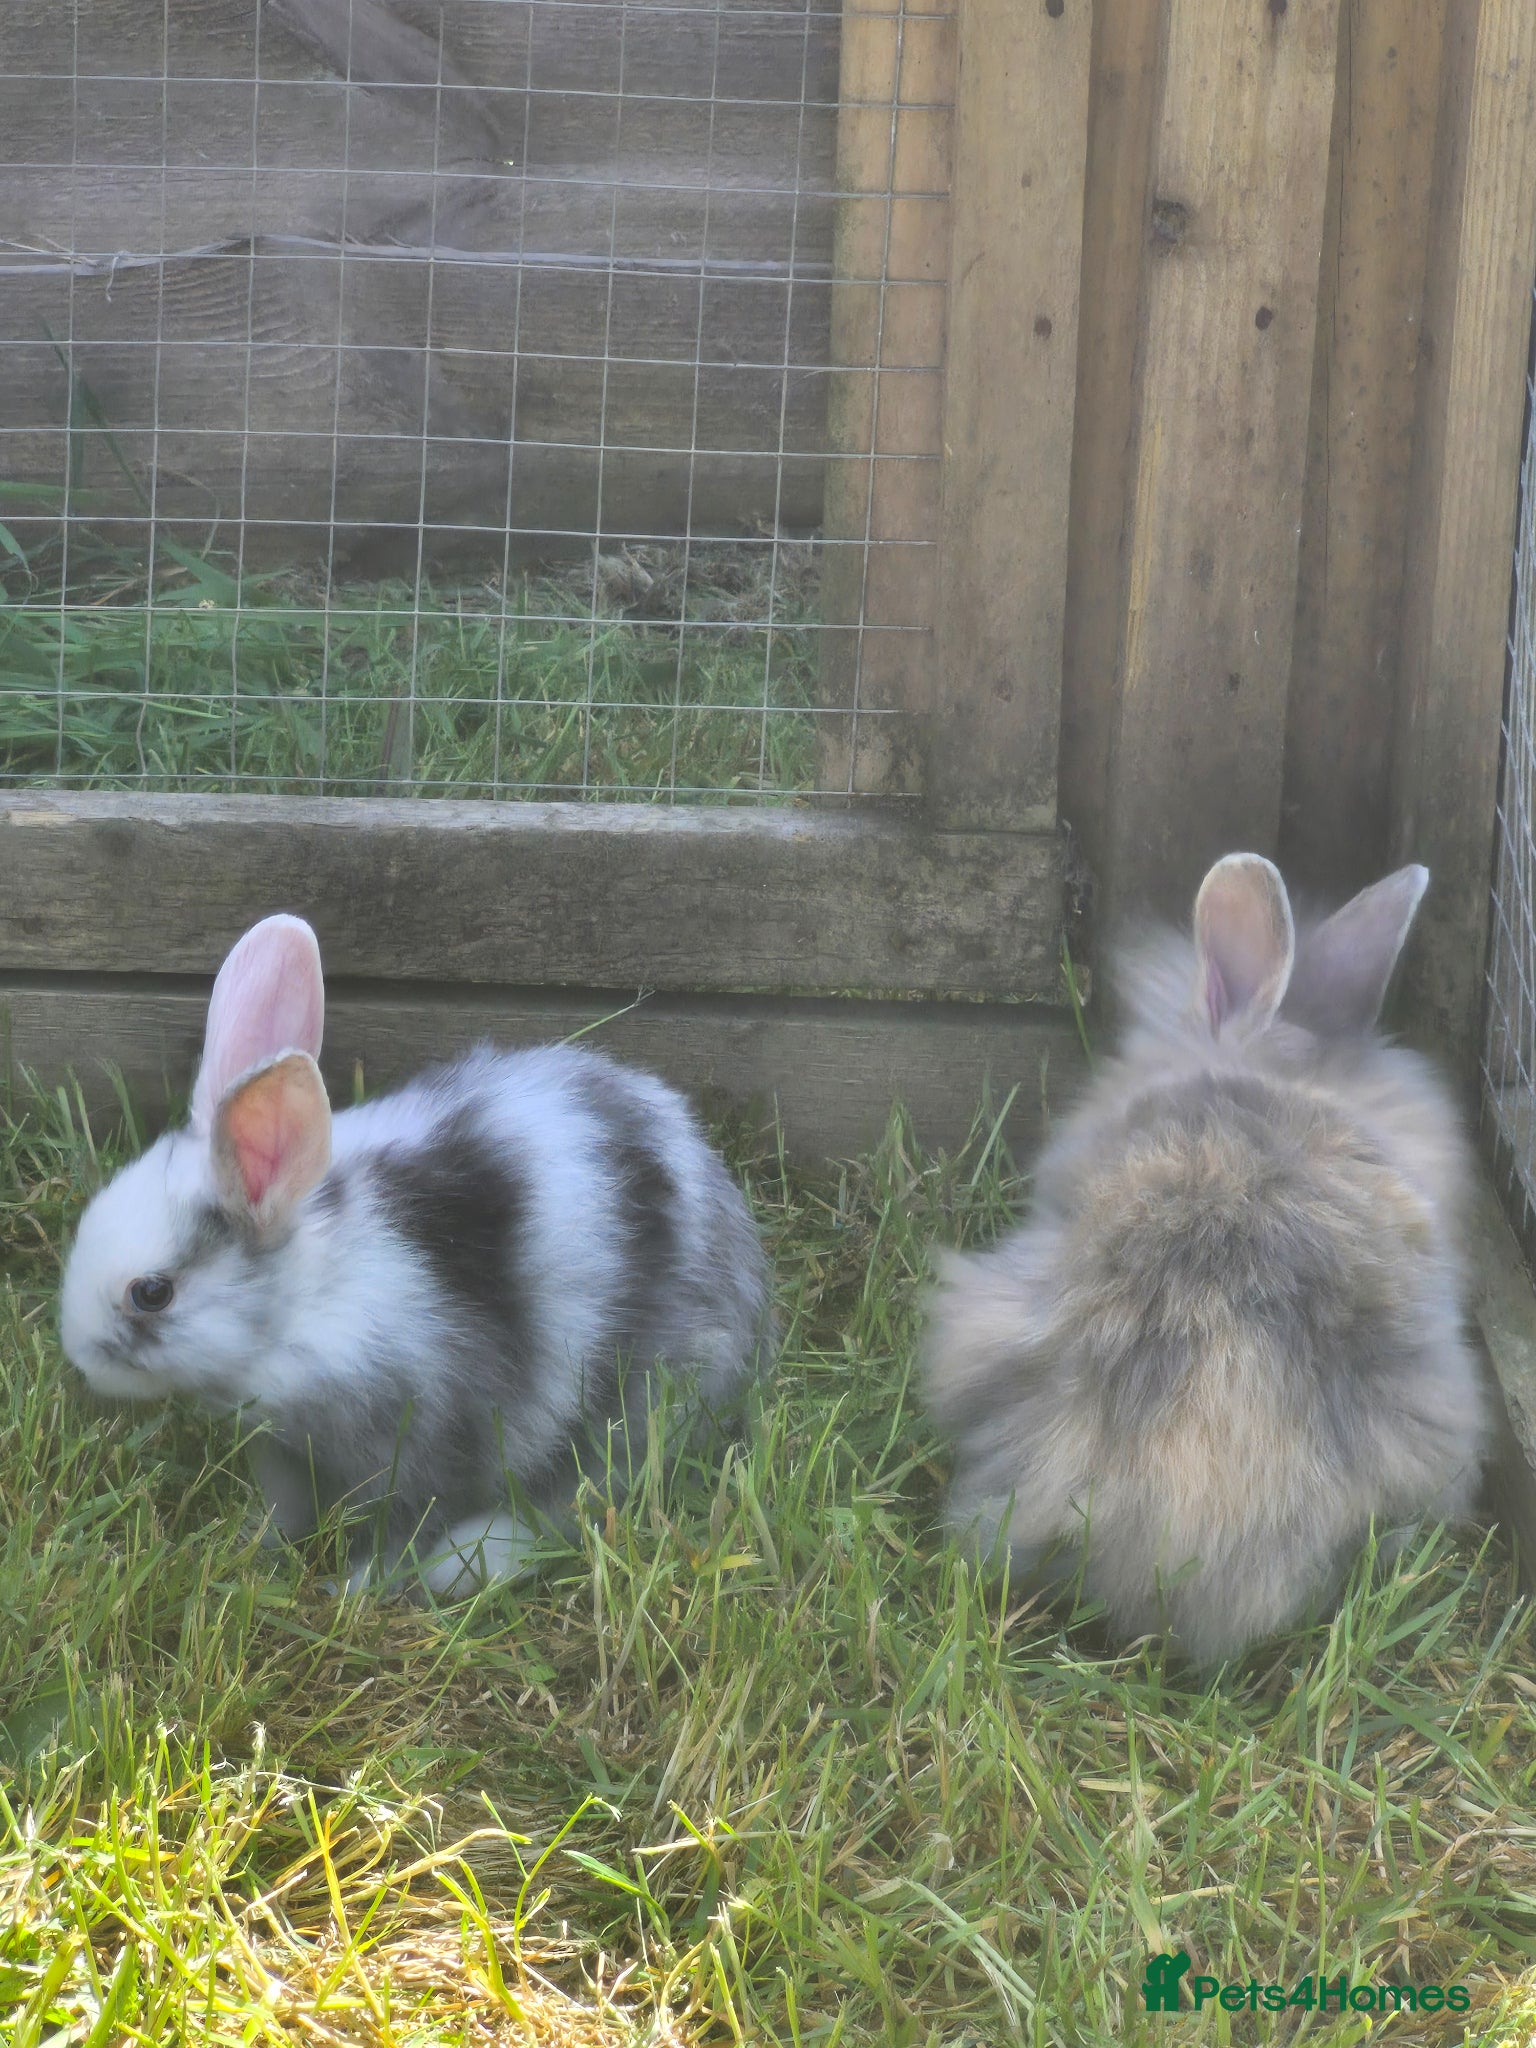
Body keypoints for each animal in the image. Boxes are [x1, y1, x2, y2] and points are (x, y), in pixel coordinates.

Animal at [60, 914, 775, 1597]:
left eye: (152, 1292)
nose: (82, 1361)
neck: (303, 1308)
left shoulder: (420, 1451)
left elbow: (397, 1531)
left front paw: (347, 1591)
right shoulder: (282, 1451)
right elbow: (282, 1510)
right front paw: (250, 1546)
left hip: (634, 1413)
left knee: (576, 1504)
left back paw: (466, 1563)